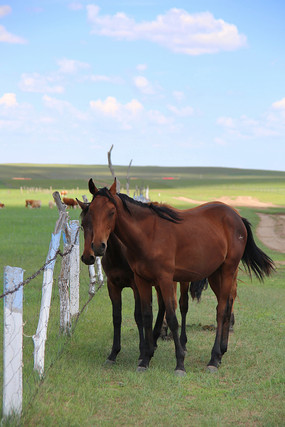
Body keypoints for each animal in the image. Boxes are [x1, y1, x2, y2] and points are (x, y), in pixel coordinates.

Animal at [79, 179, 274, 376]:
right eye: (90, 213)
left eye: (112, 212)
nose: (98, 247)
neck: (149, 235)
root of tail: (236, 216)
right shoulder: (141, 281)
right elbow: (146, 315)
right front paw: (145, 359)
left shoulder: (165, 280)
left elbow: (172, 318)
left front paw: (180, 363)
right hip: (215, 275)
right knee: (226, 305)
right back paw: (221, 353)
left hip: (228, 271)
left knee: (221, 311)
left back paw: (213, 358)